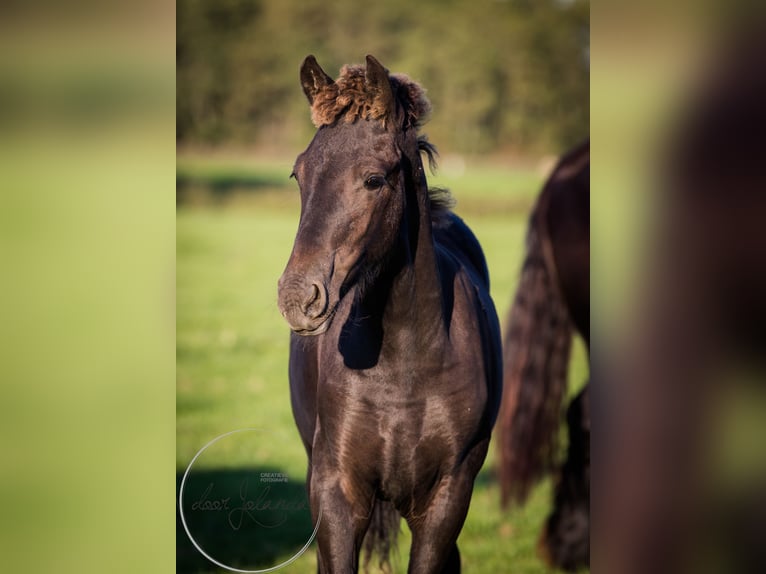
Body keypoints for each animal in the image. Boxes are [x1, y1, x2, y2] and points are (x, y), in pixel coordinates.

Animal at [276, 55, 504, 574]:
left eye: (374, 179)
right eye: (299, 174)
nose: (298, 297)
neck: (406, 361)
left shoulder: (447, 497)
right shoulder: (335, 491)